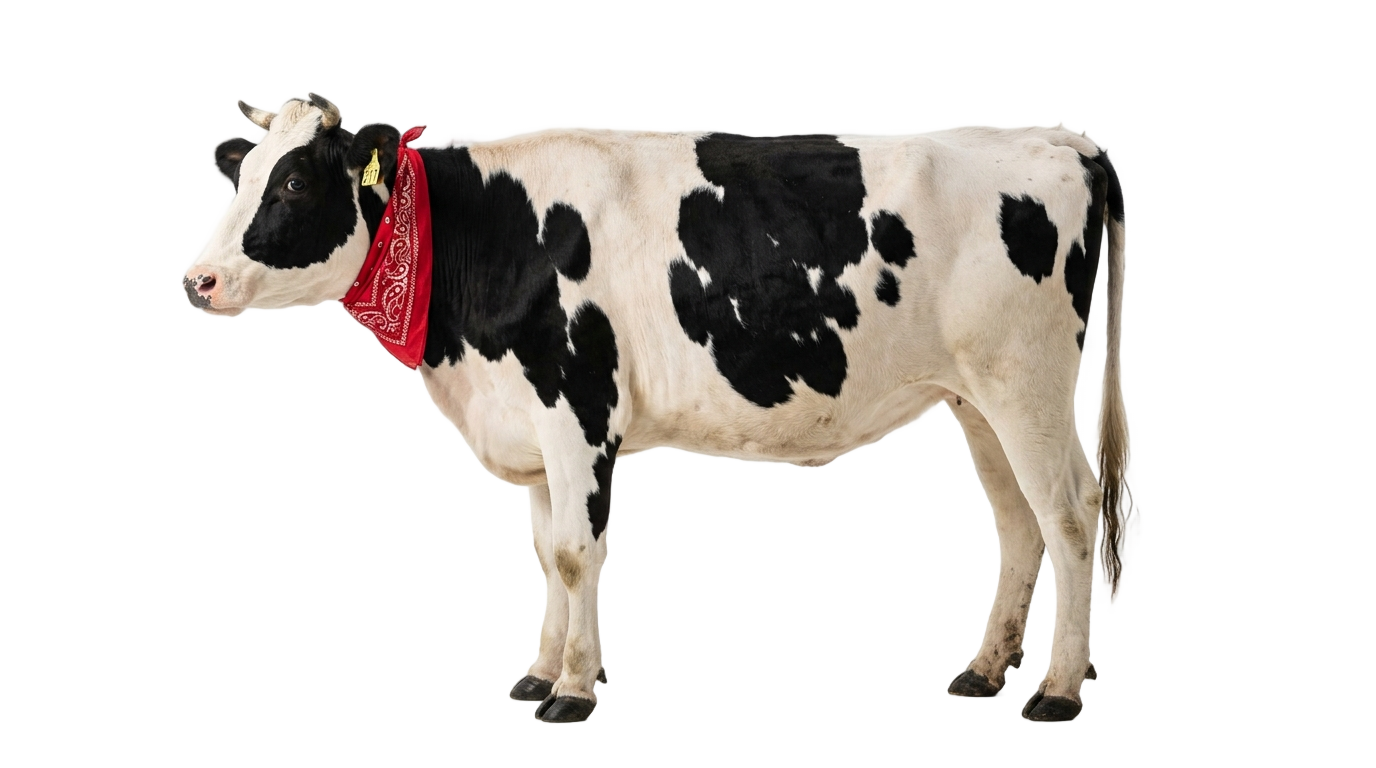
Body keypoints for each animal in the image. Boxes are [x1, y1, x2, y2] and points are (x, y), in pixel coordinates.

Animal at [185, 94, 1128, 723]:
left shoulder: (577, 406)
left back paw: (1058, 692)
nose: (200, 280)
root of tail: (1060, 139)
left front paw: (574, 691)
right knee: (1017, 523)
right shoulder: (527, 421)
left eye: (295, 183)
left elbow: (574, 554)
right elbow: (544, 551)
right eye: (244, 173)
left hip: (1029, 382)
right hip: (977, 399)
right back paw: (985, 673)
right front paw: (537, 673)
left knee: (1069, 520)